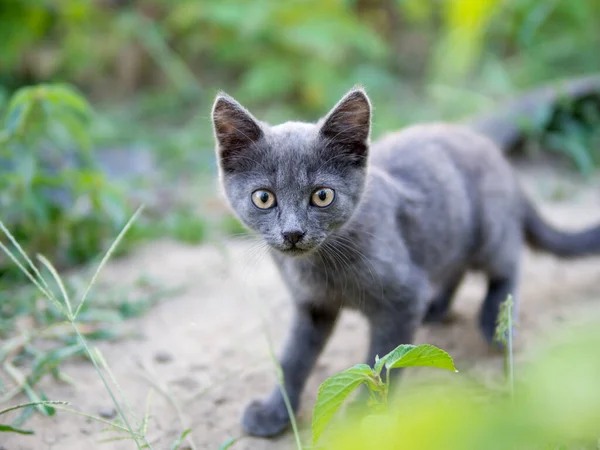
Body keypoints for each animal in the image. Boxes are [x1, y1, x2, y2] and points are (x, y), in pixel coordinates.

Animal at [210, 87, 600, 436]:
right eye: (264, 198)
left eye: (322, 196)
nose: (292, 232)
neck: (319, 267)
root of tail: (496, 154)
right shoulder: (312, 307)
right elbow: (292, 358)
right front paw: (275, 410)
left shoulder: (401, 298)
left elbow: (381, 362)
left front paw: (363, 414)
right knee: (452, 267)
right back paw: (436, 306)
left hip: (490, 229)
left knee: (507, 264)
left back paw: (495, 322)